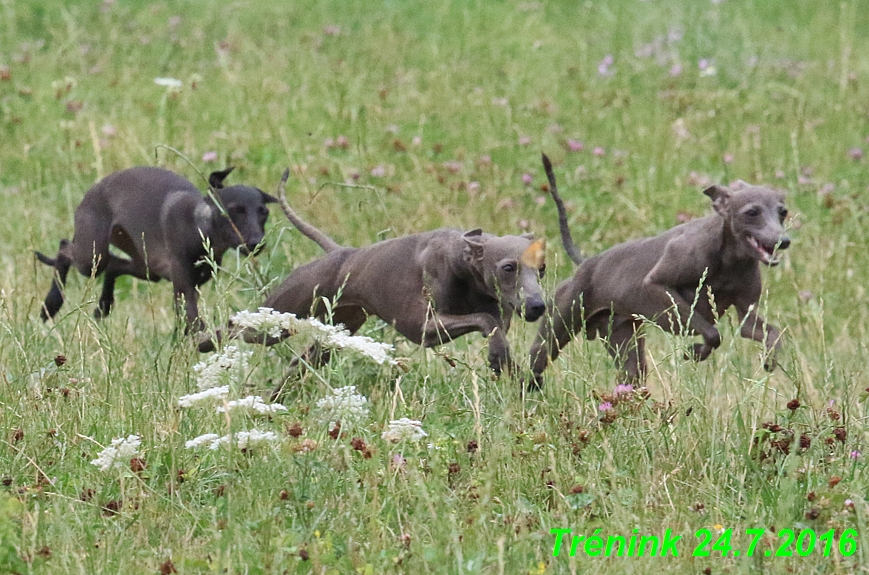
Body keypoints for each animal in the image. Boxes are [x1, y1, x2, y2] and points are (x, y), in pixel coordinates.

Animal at [36, 165, 274, 328]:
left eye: (264, 211)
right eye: (234, 210)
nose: (256, 243)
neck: (198, 225)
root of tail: (95, 188)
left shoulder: (190, 284)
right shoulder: (183, 284)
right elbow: (193, 321)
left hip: (145, 266)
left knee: (114, 267)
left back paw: (103, 306)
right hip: (93, 255)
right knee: (65, 248)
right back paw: (51, 305)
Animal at [524, 154, 792, 388]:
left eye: (783, 212)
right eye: (752, 212)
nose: (784, 241)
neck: (731, 260)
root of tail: (586, 263)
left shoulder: (746, 311)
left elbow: (771, 333)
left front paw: (769, 359)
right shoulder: (659, 284)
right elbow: (712, 332)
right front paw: (696, 351)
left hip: (624, 342)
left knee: (631, 376)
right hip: (557, 327)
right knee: (533, 363)